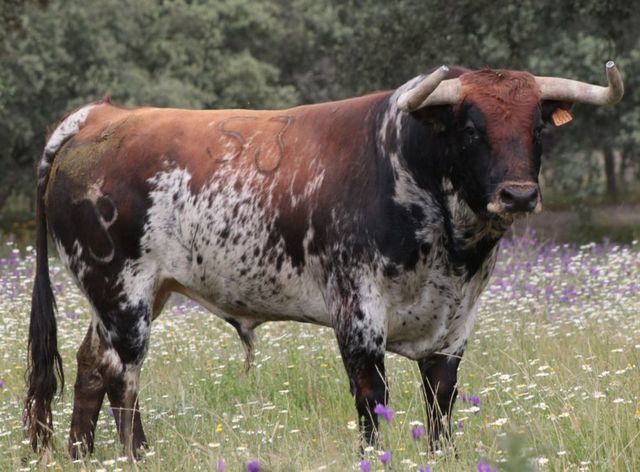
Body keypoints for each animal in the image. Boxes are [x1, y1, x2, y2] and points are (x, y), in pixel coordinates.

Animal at [27, 60, 624, 458]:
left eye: (537, 127)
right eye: (472, 128)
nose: (519, 195)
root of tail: (98, 116)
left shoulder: (456, 323)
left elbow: (440, 405)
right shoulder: (357, 316)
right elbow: (372, 403)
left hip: (135, 294)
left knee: (91, 364)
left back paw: (82, 456)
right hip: (121, 291)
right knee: (122, 375)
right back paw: (136, 456)